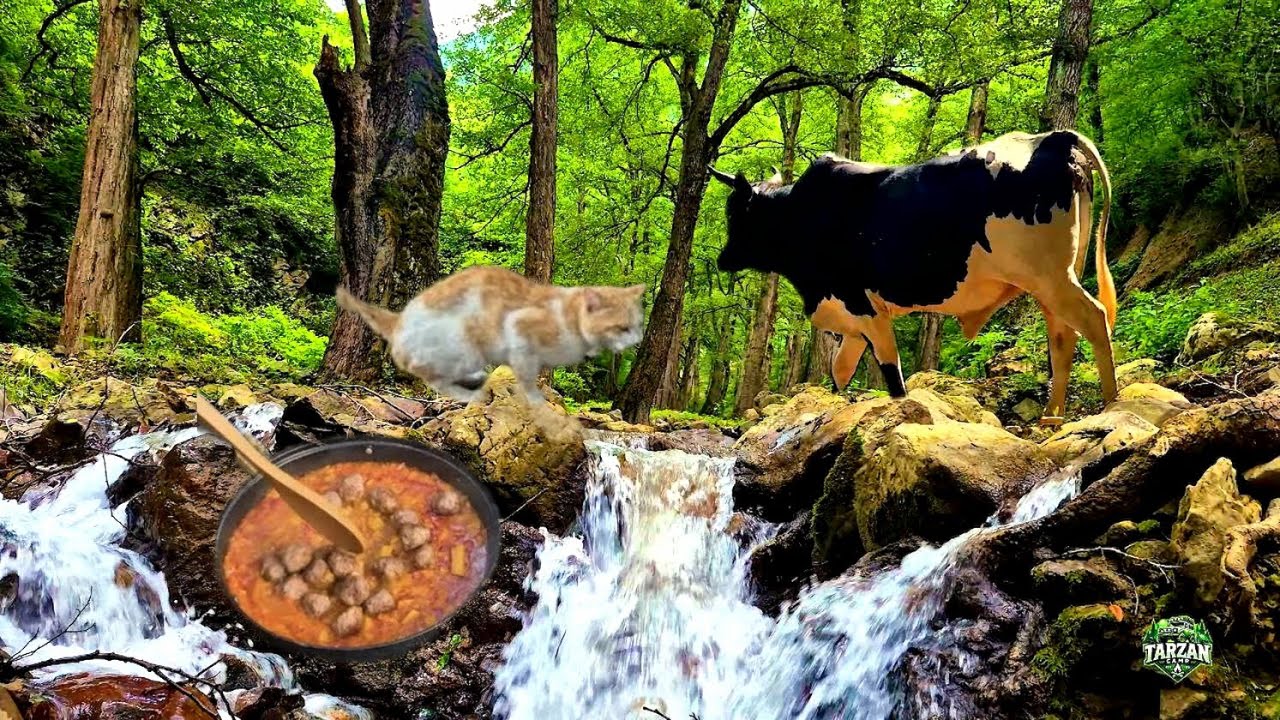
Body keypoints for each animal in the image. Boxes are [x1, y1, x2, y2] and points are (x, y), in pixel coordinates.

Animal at [709, 129, 1116, 423]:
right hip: (1053, 281)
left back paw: (1112, 403)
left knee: (1094, 319)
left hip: (1050, 277)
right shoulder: (851, 319)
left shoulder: (863, 305)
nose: (722, 259)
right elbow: (840, 372)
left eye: (734, 212)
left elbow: (892, 375)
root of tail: (1054, 137)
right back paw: (1052, 416)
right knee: (1063, 337)